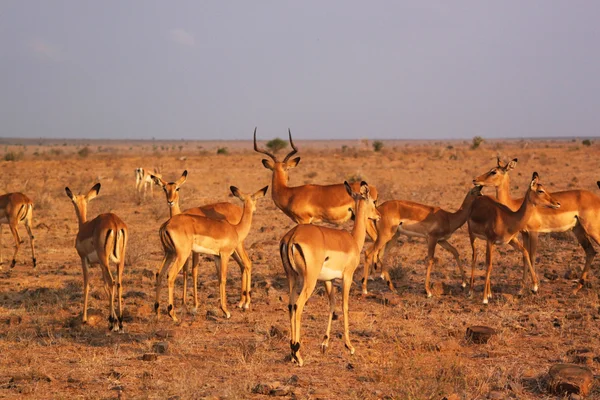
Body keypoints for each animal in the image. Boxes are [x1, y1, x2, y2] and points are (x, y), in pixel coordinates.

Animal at [65, 184, 127, 332]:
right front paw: (116, 322)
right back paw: (120, 322)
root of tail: (115, 223)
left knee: (112, 282)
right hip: (118, 261)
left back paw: (111, 322)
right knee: (118, 283)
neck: (84, 227)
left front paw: (84, 318)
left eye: (73, 201)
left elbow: (87, 284)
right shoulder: (100, 264)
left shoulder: (84, 259)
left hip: (105, 260)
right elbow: (105, 287)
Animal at [155, 185, 268, 322]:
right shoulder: (224, 255)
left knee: (159, 274)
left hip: (169, 253)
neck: (235, 228)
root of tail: (166, 225)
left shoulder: (217, 257)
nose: (255, 209)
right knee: (170, 275)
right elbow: (223, 278)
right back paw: (173, 315)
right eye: (254, 199)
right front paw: (226, 311)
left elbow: (219, 278)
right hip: (182, 255)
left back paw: (157, 313)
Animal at [280, 181, 380, 366]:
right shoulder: (347, 277)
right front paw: (350, 347)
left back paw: (292, 354)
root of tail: (292, 237)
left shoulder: (328, 280)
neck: (352, 240)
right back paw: (298, 354)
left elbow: (332, 305)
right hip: (309, 281)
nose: (378, 216)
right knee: (298, 306)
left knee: (290, 305)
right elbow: (344, 306)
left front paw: (324, 344)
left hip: (292, 277)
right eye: (373, 201)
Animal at [468, 172, 564, 304]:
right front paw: (484, 299)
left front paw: (535, 287)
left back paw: (489, 293)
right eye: (540, 190)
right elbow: (488, 265)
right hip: (473, 236)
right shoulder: (490, 240)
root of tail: (478, 199)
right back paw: (471, 292)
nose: (557, 203)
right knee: (474, 257)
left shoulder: (511, 240)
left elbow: (525, 252)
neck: (508, 218)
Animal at [474, 159, 600, 294]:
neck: (516, 206)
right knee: (590, 251)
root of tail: (596, 198)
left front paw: (535, 287)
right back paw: (575, 289)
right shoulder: (524, 233)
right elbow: (525, 257)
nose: (475, 180)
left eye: (494, 171)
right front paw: (521, 289)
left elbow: (532, 256)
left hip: (592, 229)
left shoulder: (534, 231)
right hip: (578, 230)